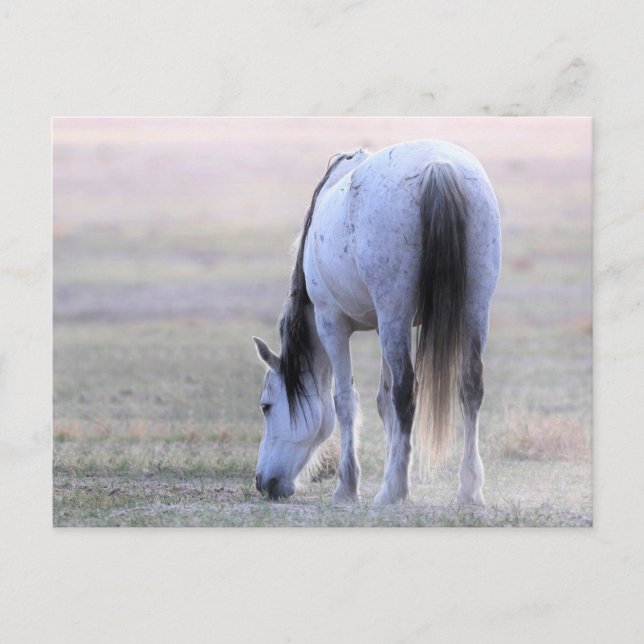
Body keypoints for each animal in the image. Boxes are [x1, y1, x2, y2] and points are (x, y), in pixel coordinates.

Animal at [252, 140, 501, 505]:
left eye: (266, 407)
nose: (263, 483)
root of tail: (438, 167)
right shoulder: (385, 326)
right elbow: (384, 403)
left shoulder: (332, 322)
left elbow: (345, 402)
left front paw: (347, 487)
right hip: (473, 306)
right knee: (470, 386)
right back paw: (468, 488)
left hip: (394, 308)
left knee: (407, 389)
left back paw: (394, 490)